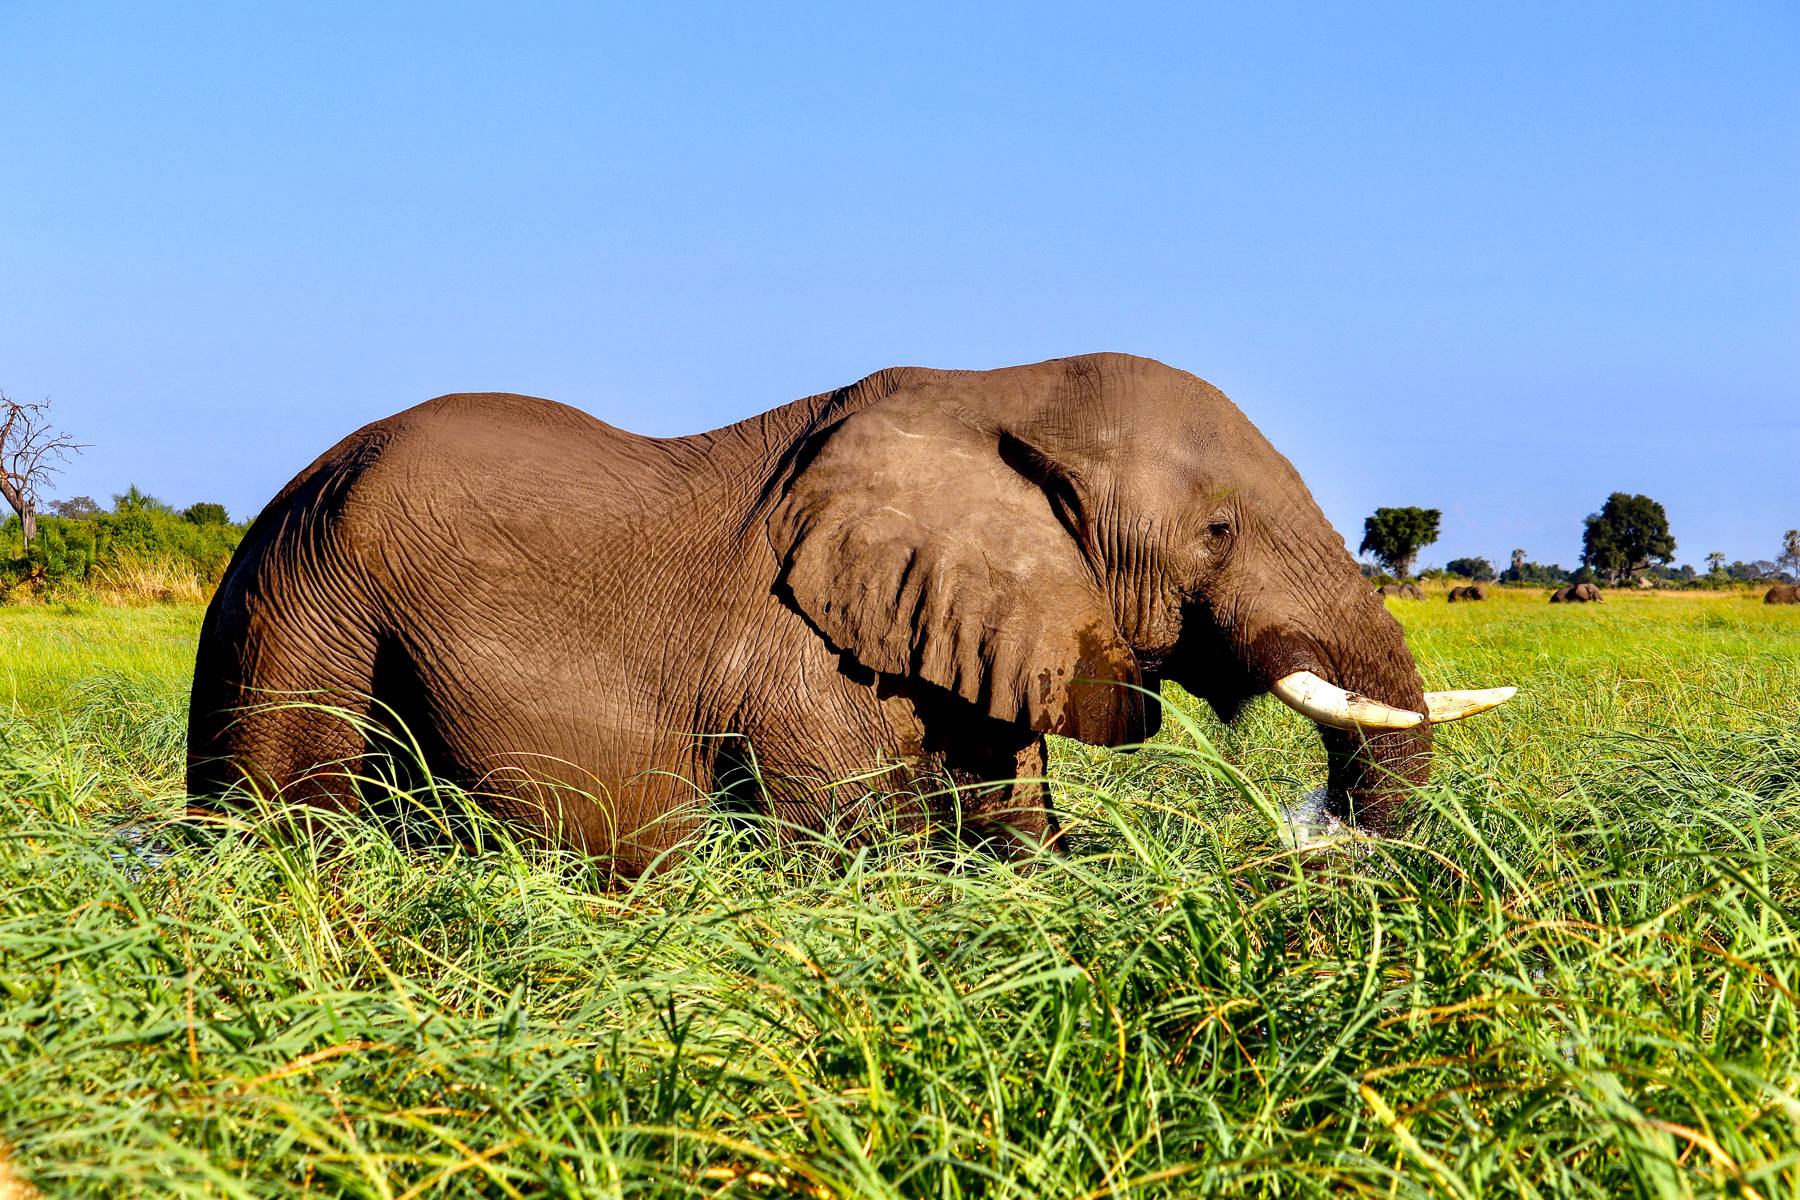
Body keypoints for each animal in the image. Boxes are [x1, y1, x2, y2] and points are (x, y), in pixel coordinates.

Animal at [188, 353, 1516, 874]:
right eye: (1220, 534)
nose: (1312, 833)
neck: (1001, 391)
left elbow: (1020, 842)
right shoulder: (798, 670)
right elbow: (842, 863)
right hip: (305, 617)